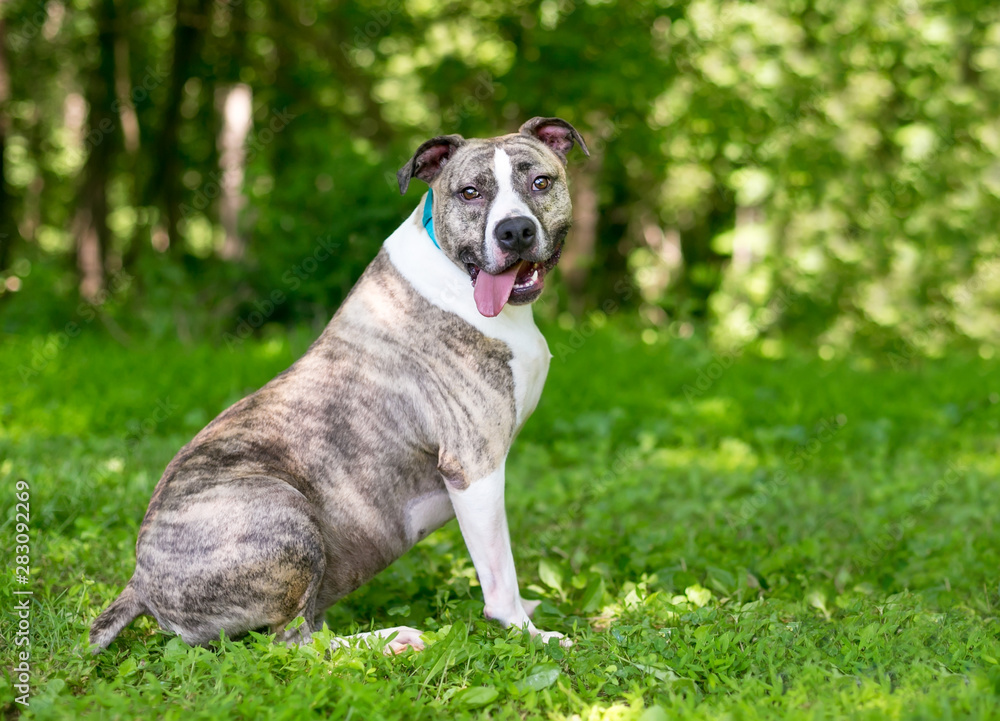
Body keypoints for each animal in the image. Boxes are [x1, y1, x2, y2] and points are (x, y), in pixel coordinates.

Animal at [90, 116, 588, 652]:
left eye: (540, 182)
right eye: (470, 192)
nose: (514, 230)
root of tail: (139, 582)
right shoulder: (473, 467)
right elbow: (501, 574)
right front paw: (528, 632)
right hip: (282, 513)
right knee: (293, 641)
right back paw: (391, 640)